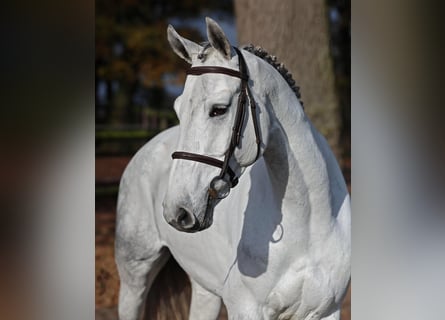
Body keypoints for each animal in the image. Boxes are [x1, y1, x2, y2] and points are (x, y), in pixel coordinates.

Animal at [115, 17, 350, 320]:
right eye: (178, 109)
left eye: (219, 109)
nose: (176, 211)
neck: (308, 223)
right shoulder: (245, 309)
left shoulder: (327, 311)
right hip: (135, 272)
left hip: (204, 288)